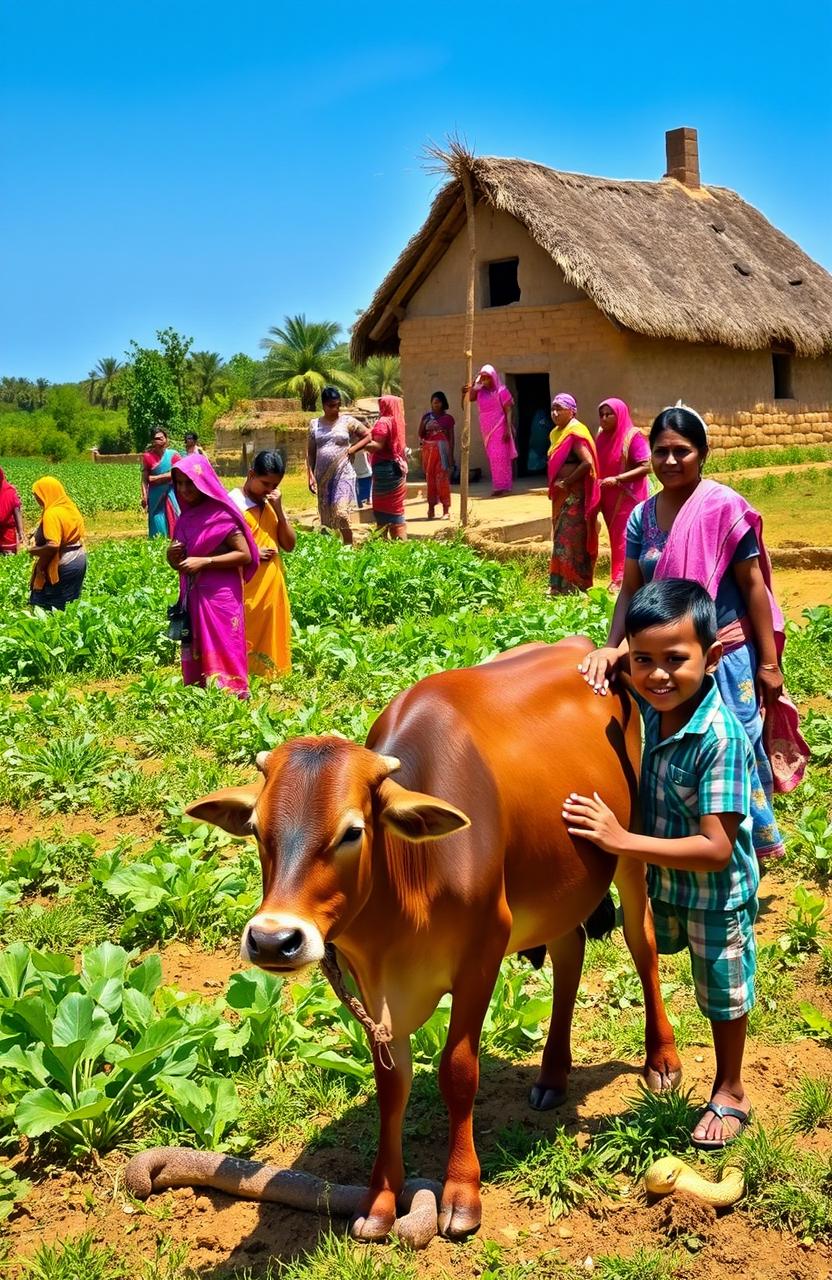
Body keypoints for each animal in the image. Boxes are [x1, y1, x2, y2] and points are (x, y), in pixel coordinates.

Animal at [184, 645, 675, 1244]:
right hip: (560, 884)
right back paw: (553, 1075)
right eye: (256, 828)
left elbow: (457, 1072)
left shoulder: (483, 951)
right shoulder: (371, 987)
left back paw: (661, 1060)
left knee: (641, 943)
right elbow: (390, 1083)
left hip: (629, 847)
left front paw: (461, 1194)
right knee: (569, 953)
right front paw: (379, 1200)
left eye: (353, 832)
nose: (274, 940)